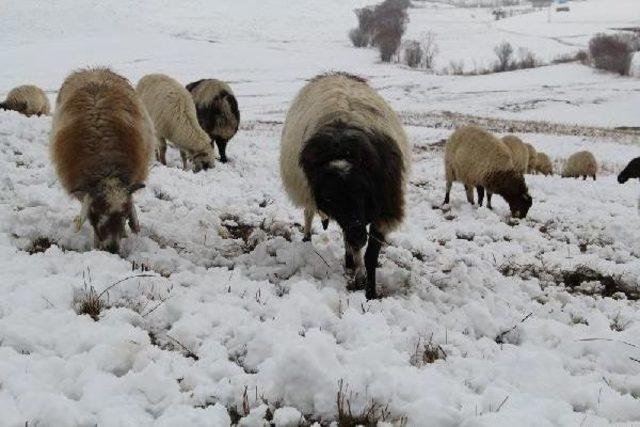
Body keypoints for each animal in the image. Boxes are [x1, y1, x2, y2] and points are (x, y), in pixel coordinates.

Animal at [50, 67, 153, 254]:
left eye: (124, 215)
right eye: (99, 212)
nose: (112, 249)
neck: (107, 170)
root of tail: (94, 70)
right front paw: (96, 244)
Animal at [280, 72, 410, 300]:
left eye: (362, 189)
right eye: (329, 197)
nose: (358, 235)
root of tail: (334, 73)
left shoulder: (383, 209)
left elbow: (370, 256)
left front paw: (370, 292)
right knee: (309, 214)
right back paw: (309, 240)